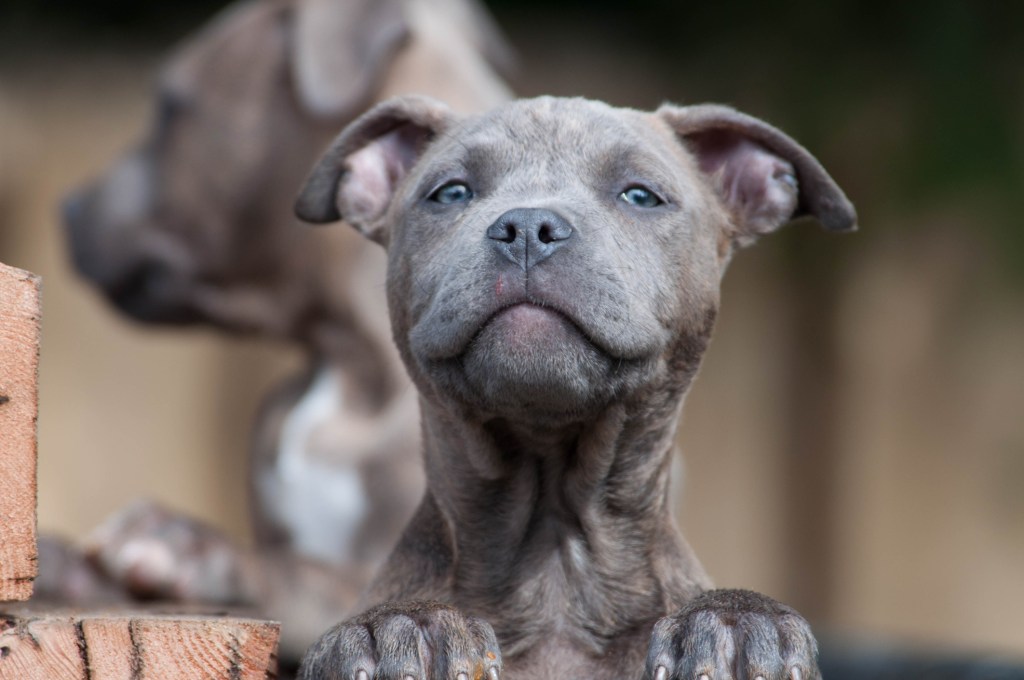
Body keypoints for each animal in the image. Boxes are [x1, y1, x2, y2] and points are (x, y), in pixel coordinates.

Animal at [294, 96, 856, 680]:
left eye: (640, 195)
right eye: (450, 192)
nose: (526, 226)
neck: (555, 569)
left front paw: (732, 622)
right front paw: (403, 628)